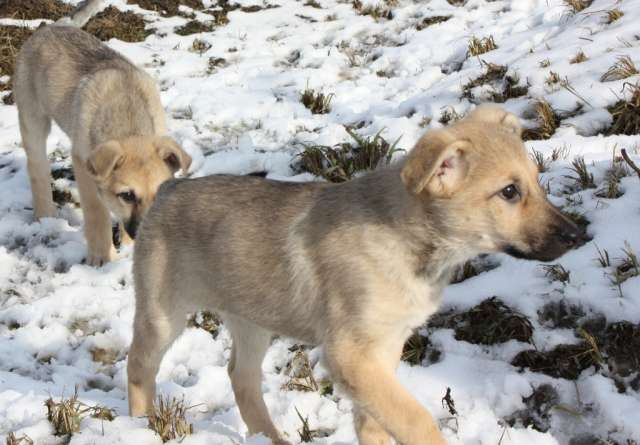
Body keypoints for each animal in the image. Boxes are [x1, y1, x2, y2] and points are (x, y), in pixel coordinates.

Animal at [13, 0, 190, 266]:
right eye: (127, 195)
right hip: (32, 118)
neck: (127, 120)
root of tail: (52, 26)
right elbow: (97, 213)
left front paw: (126, 247)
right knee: (37, 170)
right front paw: (102, 257)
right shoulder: (83, 164)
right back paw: (45, 215)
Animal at [127, 107, 584, 444]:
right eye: (509, 192)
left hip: (251, 317)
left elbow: (376, 420)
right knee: (139, 366)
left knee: (242, 378)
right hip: (162, 312)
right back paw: (141, 427)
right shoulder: (350, 352)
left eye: (536, 183)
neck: (408, 239)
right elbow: (414, 419)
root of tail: (166, 190)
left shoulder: (384, 347)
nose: (578, 235)